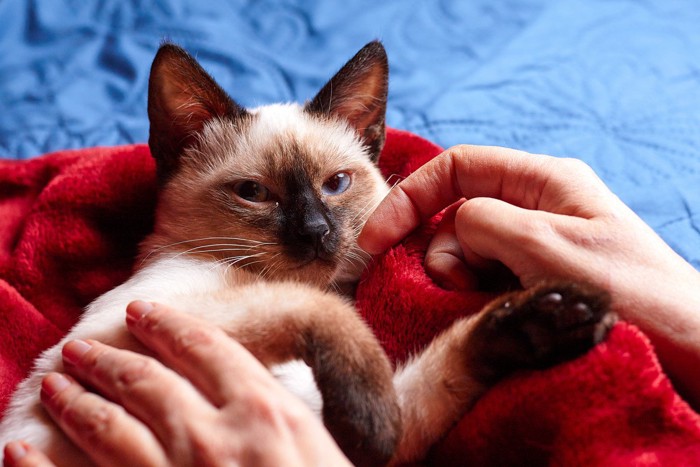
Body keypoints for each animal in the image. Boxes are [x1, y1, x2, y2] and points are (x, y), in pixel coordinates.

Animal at [0, 42, 612, 466]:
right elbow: (327, 316)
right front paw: (372, 420)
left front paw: (559, 314)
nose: (316, 231)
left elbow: (438, 375)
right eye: (254, 193)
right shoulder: (123, 335)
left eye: (335, 184)